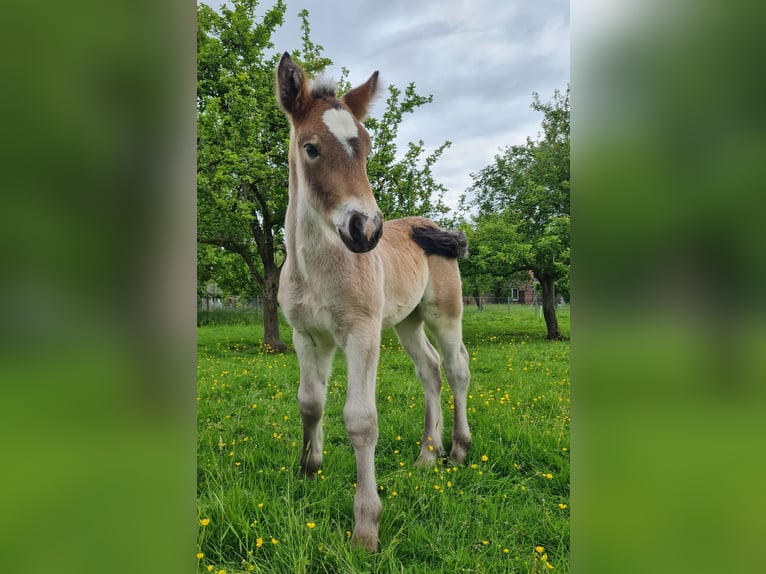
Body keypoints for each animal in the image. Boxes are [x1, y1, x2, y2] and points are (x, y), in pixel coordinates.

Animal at [272, 54, 472, 552]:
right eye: (311, 148)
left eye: (365, 147)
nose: (366, 229)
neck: (316, 268)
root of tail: (429, 224)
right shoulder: (307, 336)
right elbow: (310, 402)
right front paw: (308, 470)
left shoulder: (361, 334)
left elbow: (361, 420)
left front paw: (366, 526)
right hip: (406, 322)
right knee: (430, 369)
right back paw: (426, 456)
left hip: (443, 313)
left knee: (456, 366)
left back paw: (458, 449)